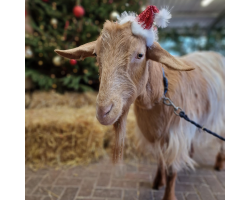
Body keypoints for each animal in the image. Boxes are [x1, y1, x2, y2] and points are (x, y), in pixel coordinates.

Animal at [55, 19, 226, 199]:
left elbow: (172, 170)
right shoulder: (155, 133)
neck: (160, 94)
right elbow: (160, 159)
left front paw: (168, 195)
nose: (103, 111)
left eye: (140, 55)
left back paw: (220, 163)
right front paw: (158, 182)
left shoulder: (176, 135)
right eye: (95, 54)